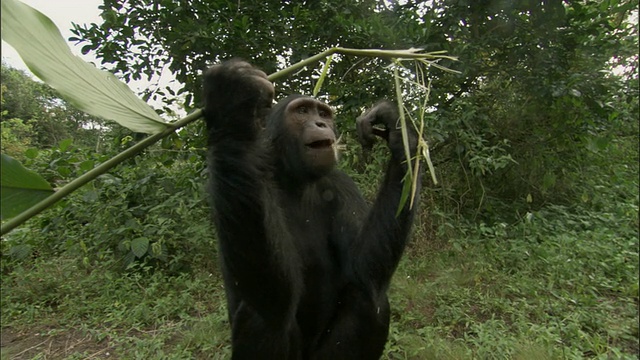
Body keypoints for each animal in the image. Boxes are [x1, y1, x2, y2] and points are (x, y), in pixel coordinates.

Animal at [204, 60, 420, 358]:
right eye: (303, 111)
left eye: (324, 114)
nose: (320, 123)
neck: (293, 179)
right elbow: (270, 290)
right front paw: (232, 102)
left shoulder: (341, 185)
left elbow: (362, 270)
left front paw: (397, 126)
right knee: (266, 314)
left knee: (369, 299)